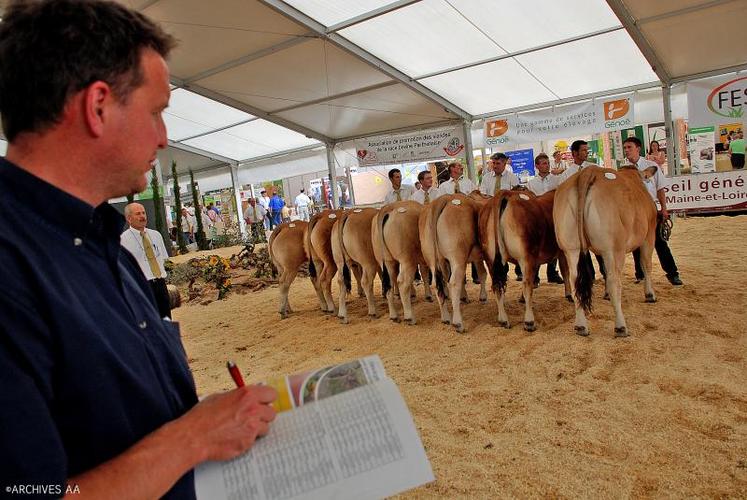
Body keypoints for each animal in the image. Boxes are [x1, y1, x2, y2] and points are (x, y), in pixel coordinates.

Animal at [420, 193, 490, 334]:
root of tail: (444, 198)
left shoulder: (476, 257)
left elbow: (481, 273)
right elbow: (483, 274)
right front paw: (483, 297)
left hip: (432, 258)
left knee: (437, 284)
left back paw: (446, 317)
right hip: (457, 258)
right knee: (454, 282)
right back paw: (458, 323)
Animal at [480, 189, 572, 330]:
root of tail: (506, 193)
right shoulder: (562, 251)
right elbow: (565, 271)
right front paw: (569, 295)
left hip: (490, 259)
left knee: (497, 286)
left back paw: (503, 320)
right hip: (526, 256)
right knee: (526, 285)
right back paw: (529, 322)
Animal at [556, 166, 656, 338]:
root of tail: (588, 172)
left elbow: (603, 270)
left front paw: (606, 295)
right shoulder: (649, 234)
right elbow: (646, 264)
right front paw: (650, 294)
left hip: (571, 248)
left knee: (575, 280)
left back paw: (581, 326)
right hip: (614, 248)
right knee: (614, 281)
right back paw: (621, 327)